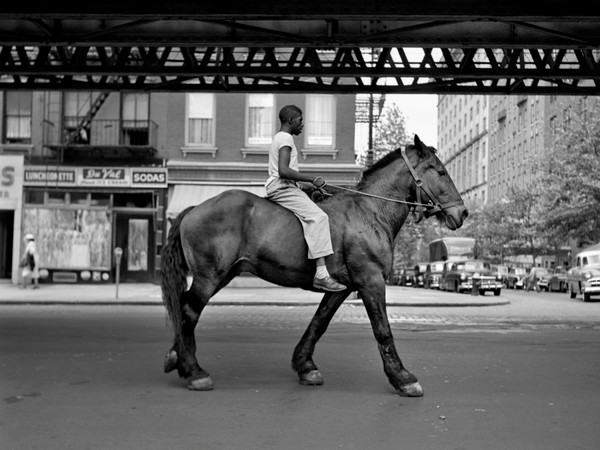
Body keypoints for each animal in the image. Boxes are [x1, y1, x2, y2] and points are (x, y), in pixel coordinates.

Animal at [162, 134, 466, 398]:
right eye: (439, 171)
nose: (461, 212)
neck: (370, 210)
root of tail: (194, 208)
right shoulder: (371, 281)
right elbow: (382, 329)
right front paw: (402, 378)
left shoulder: (342, 288)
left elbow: (319, 322)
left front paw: (305, 366)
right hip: (210, 277)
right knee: (188, 310)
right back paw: (194, 370)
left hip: (223, 274)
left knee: (184, 306)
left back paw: (177, 358)